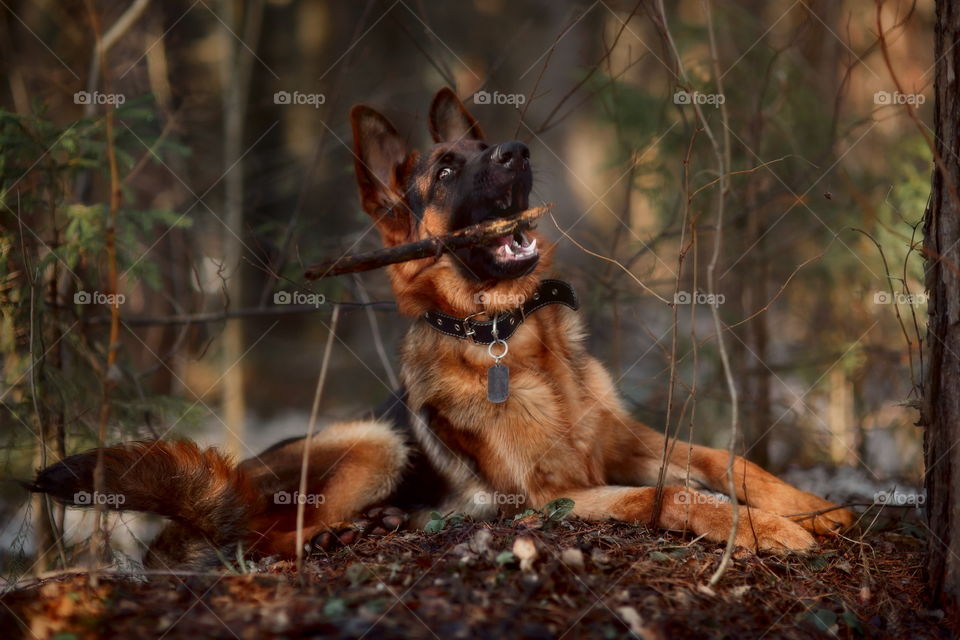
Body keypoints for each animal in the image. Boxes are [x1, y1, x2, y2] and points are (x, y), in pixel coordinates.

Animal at [30, 87, 856, 568]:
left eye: (491, 151)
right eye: (449, 172)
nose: (517, 152)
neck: (515, 336)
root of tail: (226, 485)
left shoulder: (627, 441)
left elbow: (728, 460)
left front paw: (815, 508)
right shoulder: (544, 497)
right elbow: (665, 498)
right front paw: (761, 529)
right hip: (372, 440)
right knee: (262, 541)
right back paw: (340, 534)